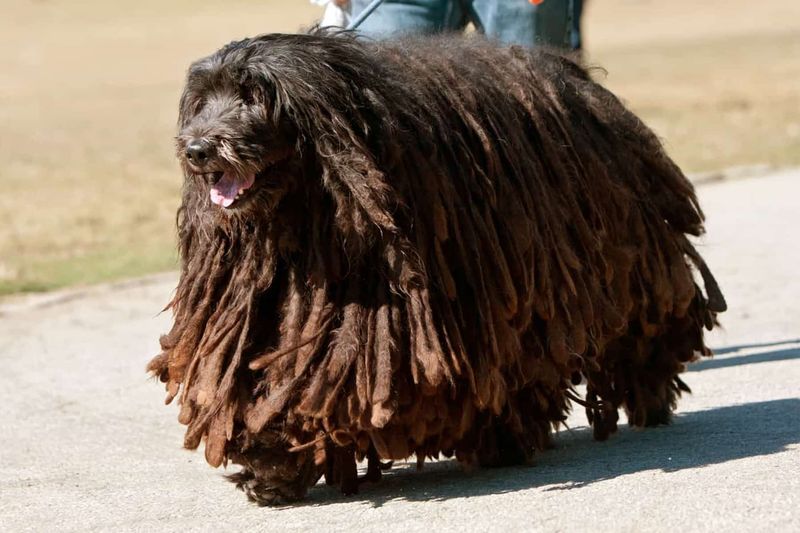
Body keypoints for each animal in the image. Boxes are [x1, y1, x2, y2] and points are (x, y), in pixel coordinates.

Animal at [147, 31, 728, 504]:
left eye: (255, 96)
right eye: (203, 101)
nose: (197, 148)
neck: (309, 210)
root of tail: (579, 82)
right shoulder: (270, 296)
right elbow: (267, 375)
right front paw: (269, 464)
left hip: (624, 258)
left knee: (641, 326)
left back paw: (646, 396)